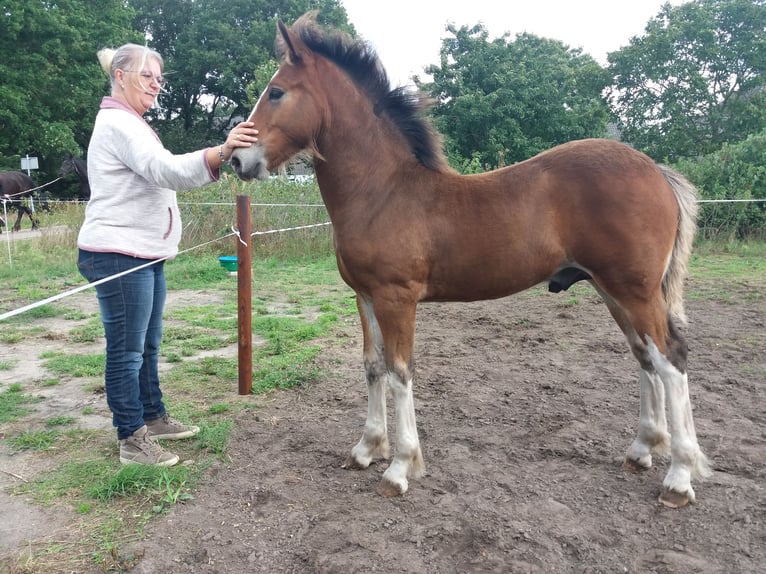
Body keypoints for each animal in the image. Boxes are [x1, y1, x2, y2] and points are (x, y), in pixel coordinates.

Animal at [230, 12, 712, 508]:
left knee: (670, 359)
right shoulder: (364, 297)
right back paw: (642, 451)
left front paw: (400, 468)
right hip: (612, 290)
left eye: (276, 92)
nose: (236, 159)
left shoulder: (397, 298)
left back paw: (679, 477)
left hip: (634, 291)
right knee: (645, 355)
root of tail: (657, 171)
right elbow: (373, 366)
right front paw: (366, 449)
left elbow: (401, 372)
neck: (383, 192)